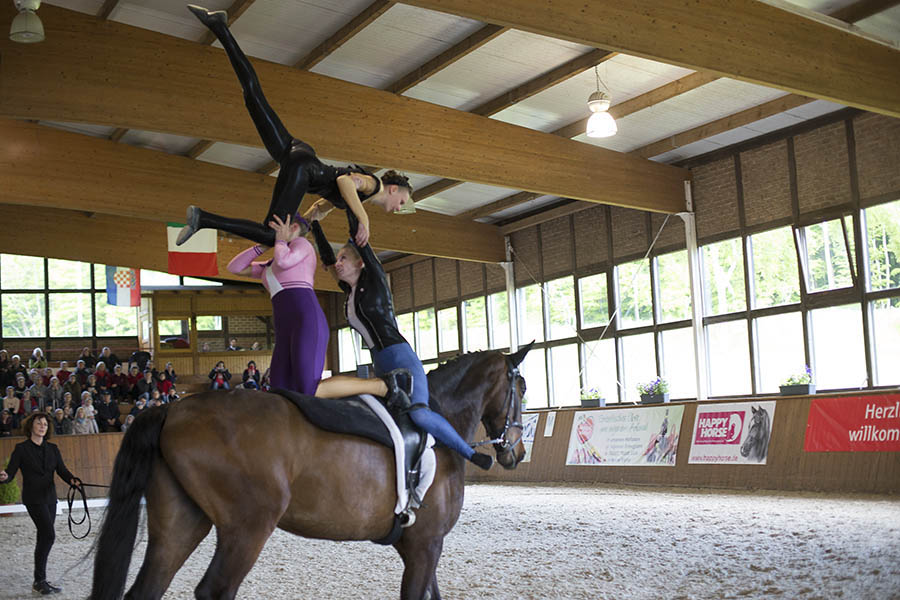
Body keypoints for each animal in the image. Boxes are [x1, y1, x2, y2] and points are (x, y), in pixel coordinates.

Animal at [89, 346, 532, 600]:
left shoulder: (419, 546)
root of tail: (174, 409)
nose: (517, 451)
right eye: (523, 388)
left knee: (147, 588)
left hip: (181, 522)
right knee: (214, 590)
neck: (438, 423)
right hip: (247, 528)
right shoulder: (427, 545)